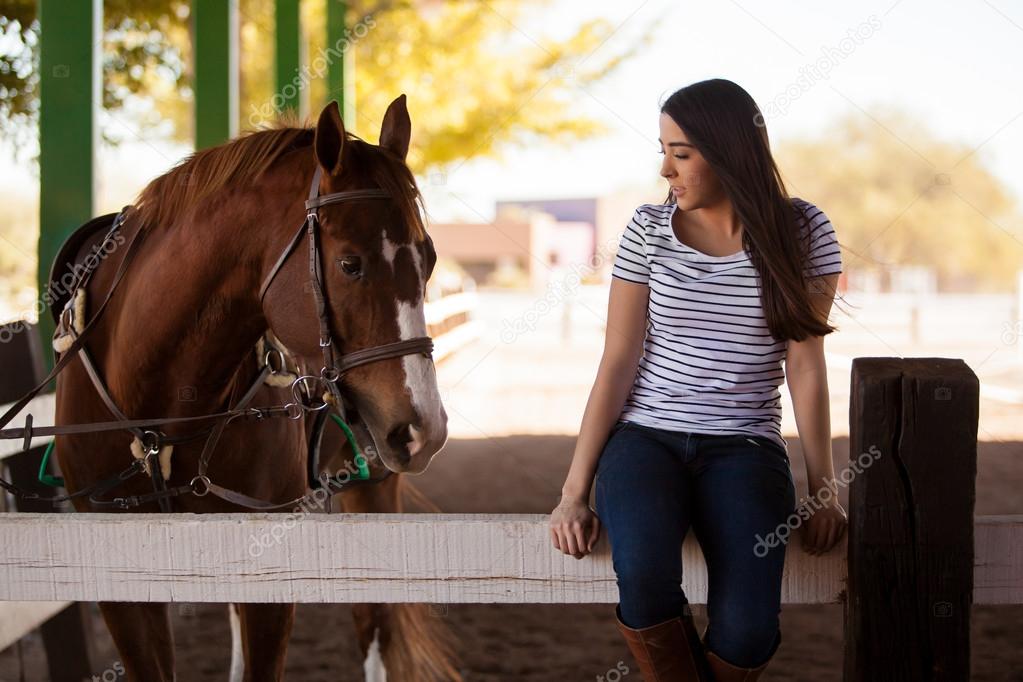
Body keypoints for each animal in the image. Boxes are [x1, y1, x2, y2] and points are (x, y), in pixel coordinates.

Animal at [51, 97, 460, 682]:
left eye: (428, 261)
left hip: (373, 487)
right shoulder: (122, 584)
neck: (157, 411)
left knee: (374, 624)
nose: (424, 427)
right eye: (350, 263)